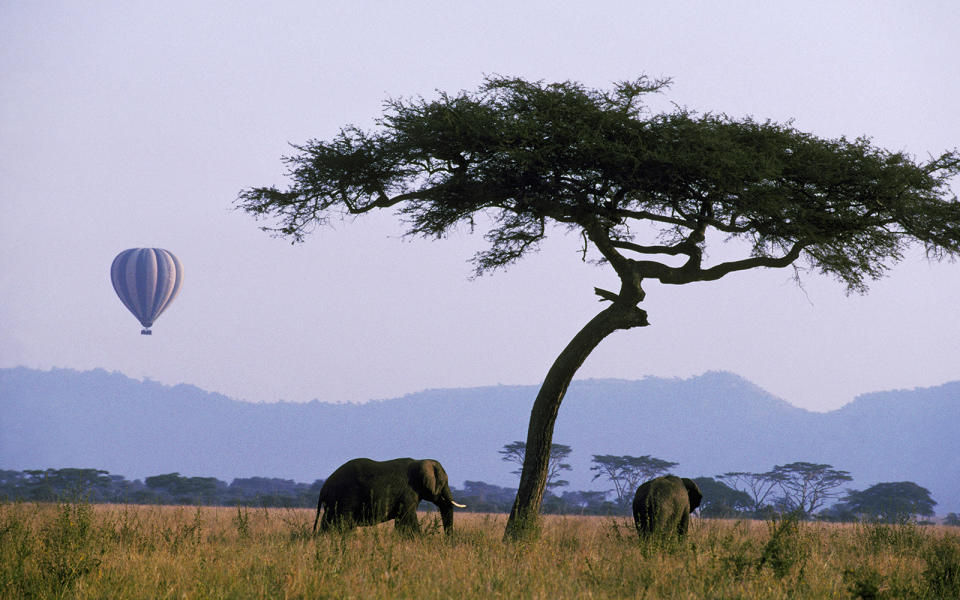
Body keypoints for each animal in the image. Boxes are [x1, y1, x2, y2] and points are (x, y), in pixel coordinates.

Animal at [314, 458, 466, 536]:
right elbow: (407, 517)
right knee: (343, 522)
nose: (448, 542)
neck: (420, 462)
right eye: (444, 483)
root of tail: (324, 487)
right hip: (343, 497)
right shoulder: (408, 492)